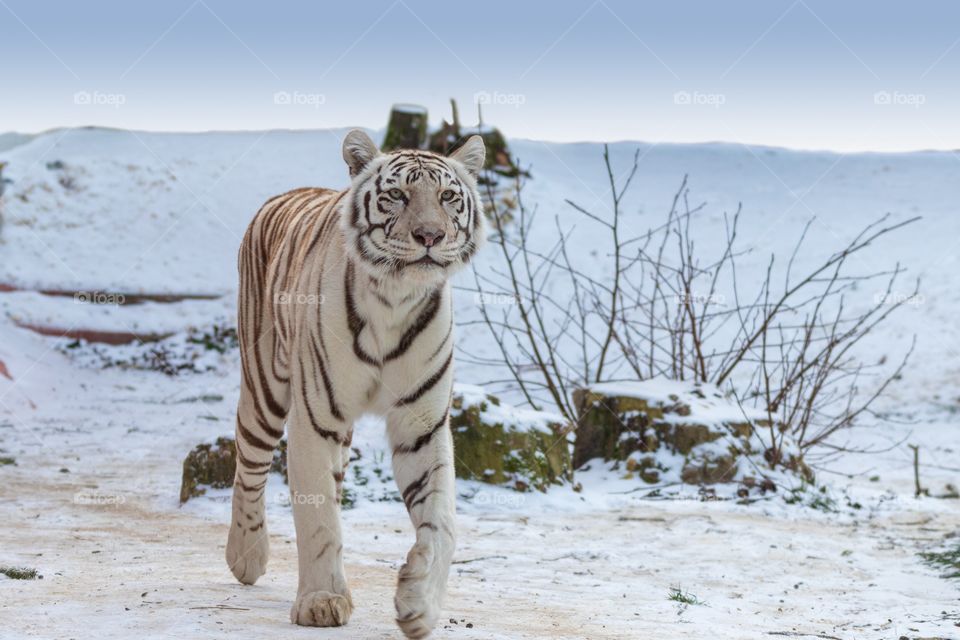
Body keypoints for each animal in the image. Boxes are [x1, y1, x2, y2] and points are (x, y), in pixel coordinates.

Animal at [224, 129, 486, 638]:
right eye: (398, 195)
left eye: (447, 197)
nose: (431, 236)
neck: (396, 297)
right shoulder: (314, 417)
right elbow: (318, 516)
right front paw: (322, 601)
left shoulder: (422, 423)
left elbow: (442, 519)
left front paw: (419, 603)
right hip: (265, 386)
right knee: (249, 464)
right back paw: (245, 555)